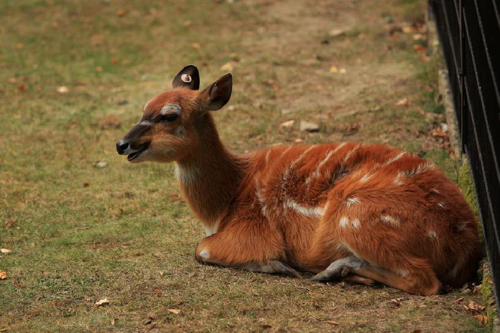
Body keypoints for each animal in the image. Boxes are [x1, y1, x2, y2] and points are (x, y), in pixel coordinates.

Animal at [116, 64, 480, 294]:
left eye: (169, 115)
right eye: (144, 108)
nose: (122, 144)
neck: (227, 199)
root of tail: (466, 245)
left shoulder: (254, 232)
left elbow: (201, 249)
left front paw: (277, 265)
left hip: (358, 215)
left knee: (425, 281)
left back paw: (333, 270)